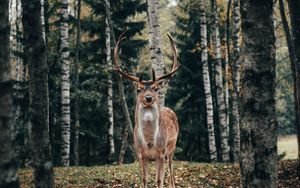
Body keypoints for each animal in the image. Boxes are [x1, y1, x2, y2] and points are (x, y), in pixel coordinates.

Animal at [114, 33, 180, 187]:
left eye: (155, 88)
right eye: (139, 89)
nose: (148, 97)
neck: (149, 143)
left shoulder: (161, 153)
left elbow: (158, 180)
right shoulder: (141, 154)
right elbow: (144, 179)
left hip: (172, 146)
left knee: (170, 165)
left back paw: (172, 184)